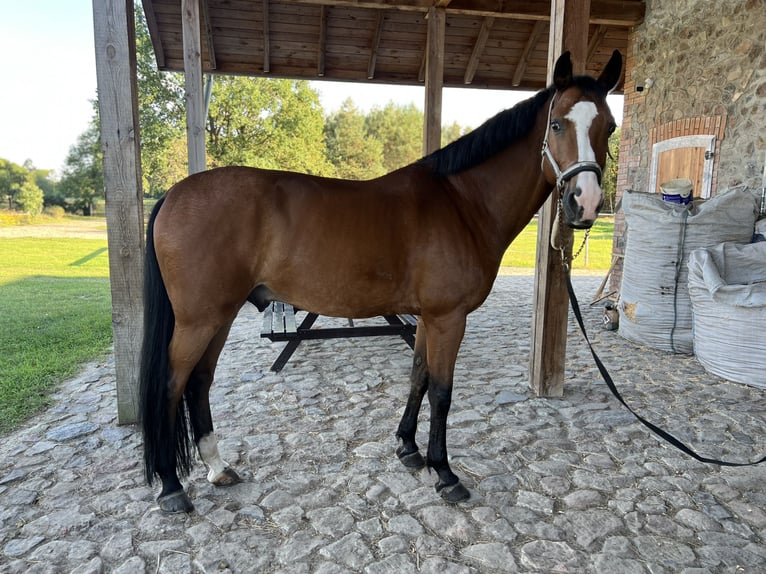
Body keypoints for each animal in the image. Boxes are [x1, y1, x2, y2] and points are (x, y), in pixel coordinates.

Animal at [142, 51, 624, 516]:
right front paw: (444, 473)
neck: (463, 203)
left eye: (610, 127)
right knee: (170, 386)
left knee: (199, 382)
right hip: (199, 320)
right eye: (557, 123)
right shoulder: (449, 318)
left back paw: (217, 467)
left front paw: (408, 448)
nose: (585, 203)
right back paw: (171, 487)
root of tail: (173, 194)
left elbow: (418, 376)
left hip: (219, 317)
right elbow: (442, 391)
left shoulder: (429, 317)